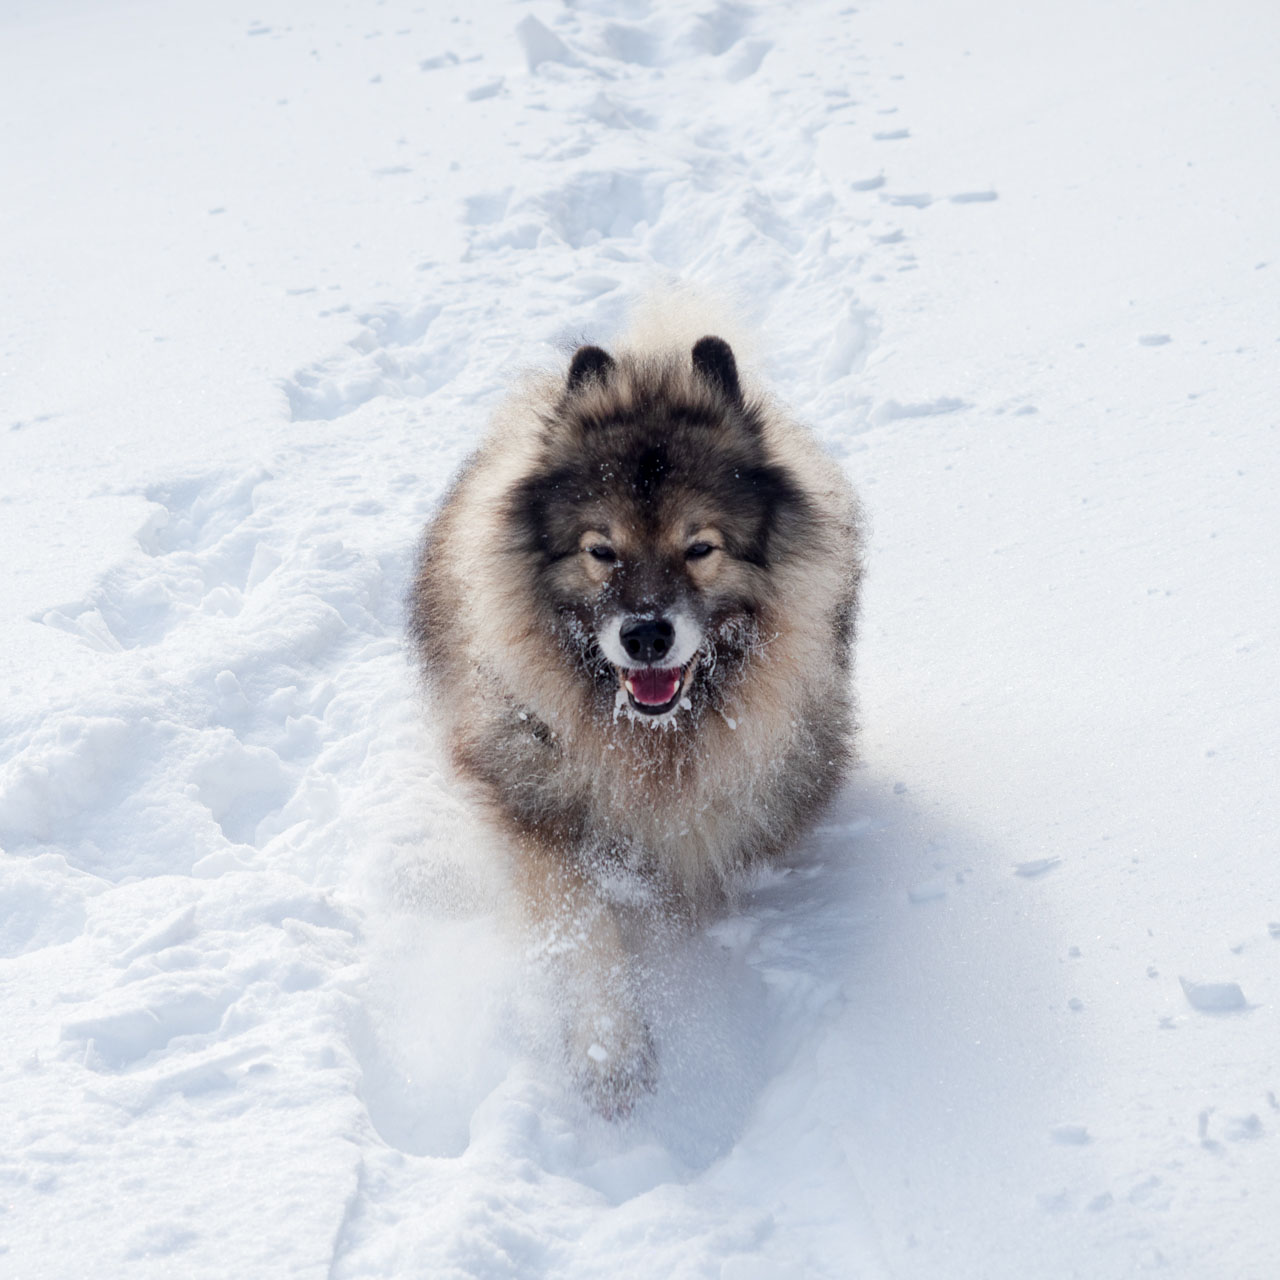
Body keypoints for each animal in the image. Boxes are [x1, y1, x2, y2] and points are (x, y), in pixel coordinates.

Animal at [412, 304, 860, 1116]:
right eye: (601, 550)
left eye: (700, 547)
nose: (646, 634)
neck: (654, 741)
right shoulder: (534, 806)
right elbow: (583, 927)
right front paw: (609, 1051)